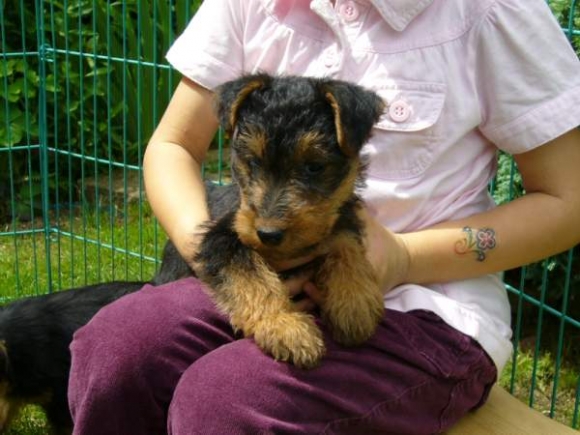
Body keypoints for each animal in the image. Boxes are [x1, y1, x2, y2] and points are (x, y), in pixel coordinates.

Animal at [193, 74, 388, 368]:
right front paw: (285, 325)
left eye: (314, 166)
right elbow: (251, 275)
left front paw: (355, 305)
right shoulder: (222, 239)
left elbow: (346, 246)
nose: (268, 233)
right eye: (253, 162)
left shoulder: (339, 220)